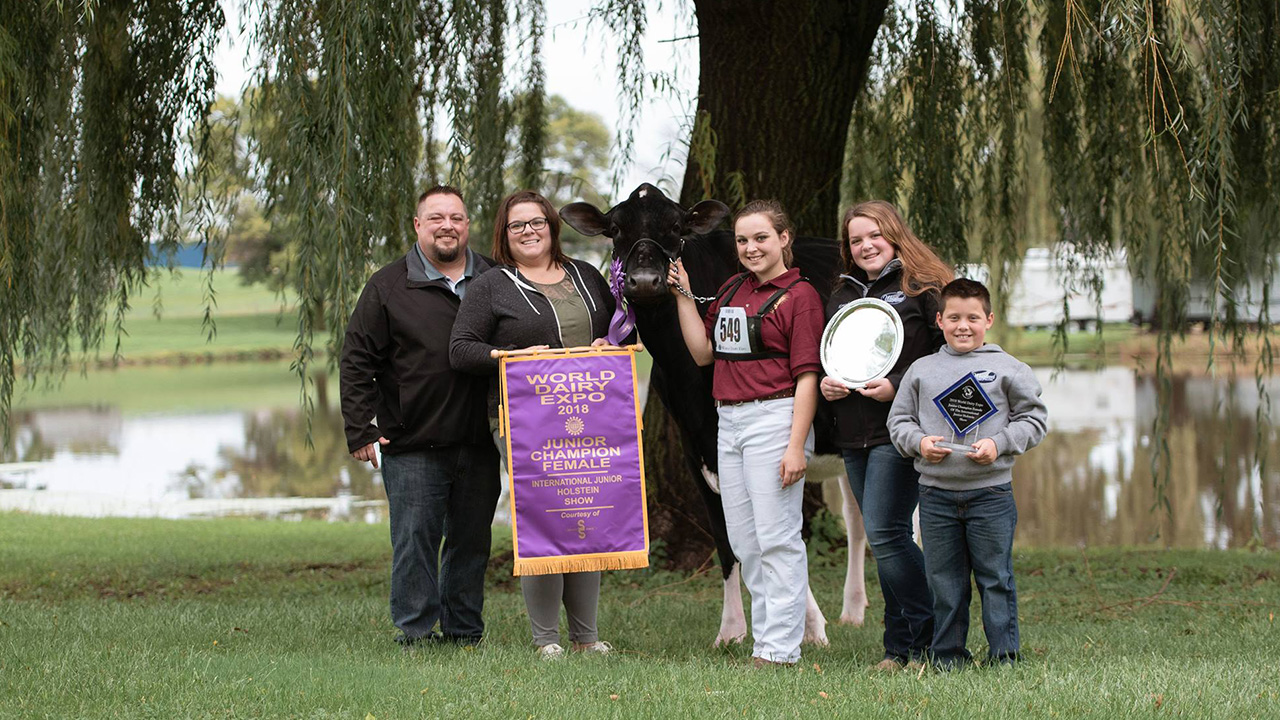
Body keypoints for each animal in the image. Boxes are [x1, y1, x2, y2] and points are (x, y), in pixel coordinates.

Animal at [563, 183, 870, 645]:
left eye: (676, 227)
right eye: (615, 228)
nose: (645, 281)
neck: (686, 372)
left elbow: (772, 531)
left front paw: (808, 626)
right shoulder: (696, 447)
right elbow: (727, 542)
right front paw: (731, 630)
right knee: (856, 515)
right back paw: (853, 610)